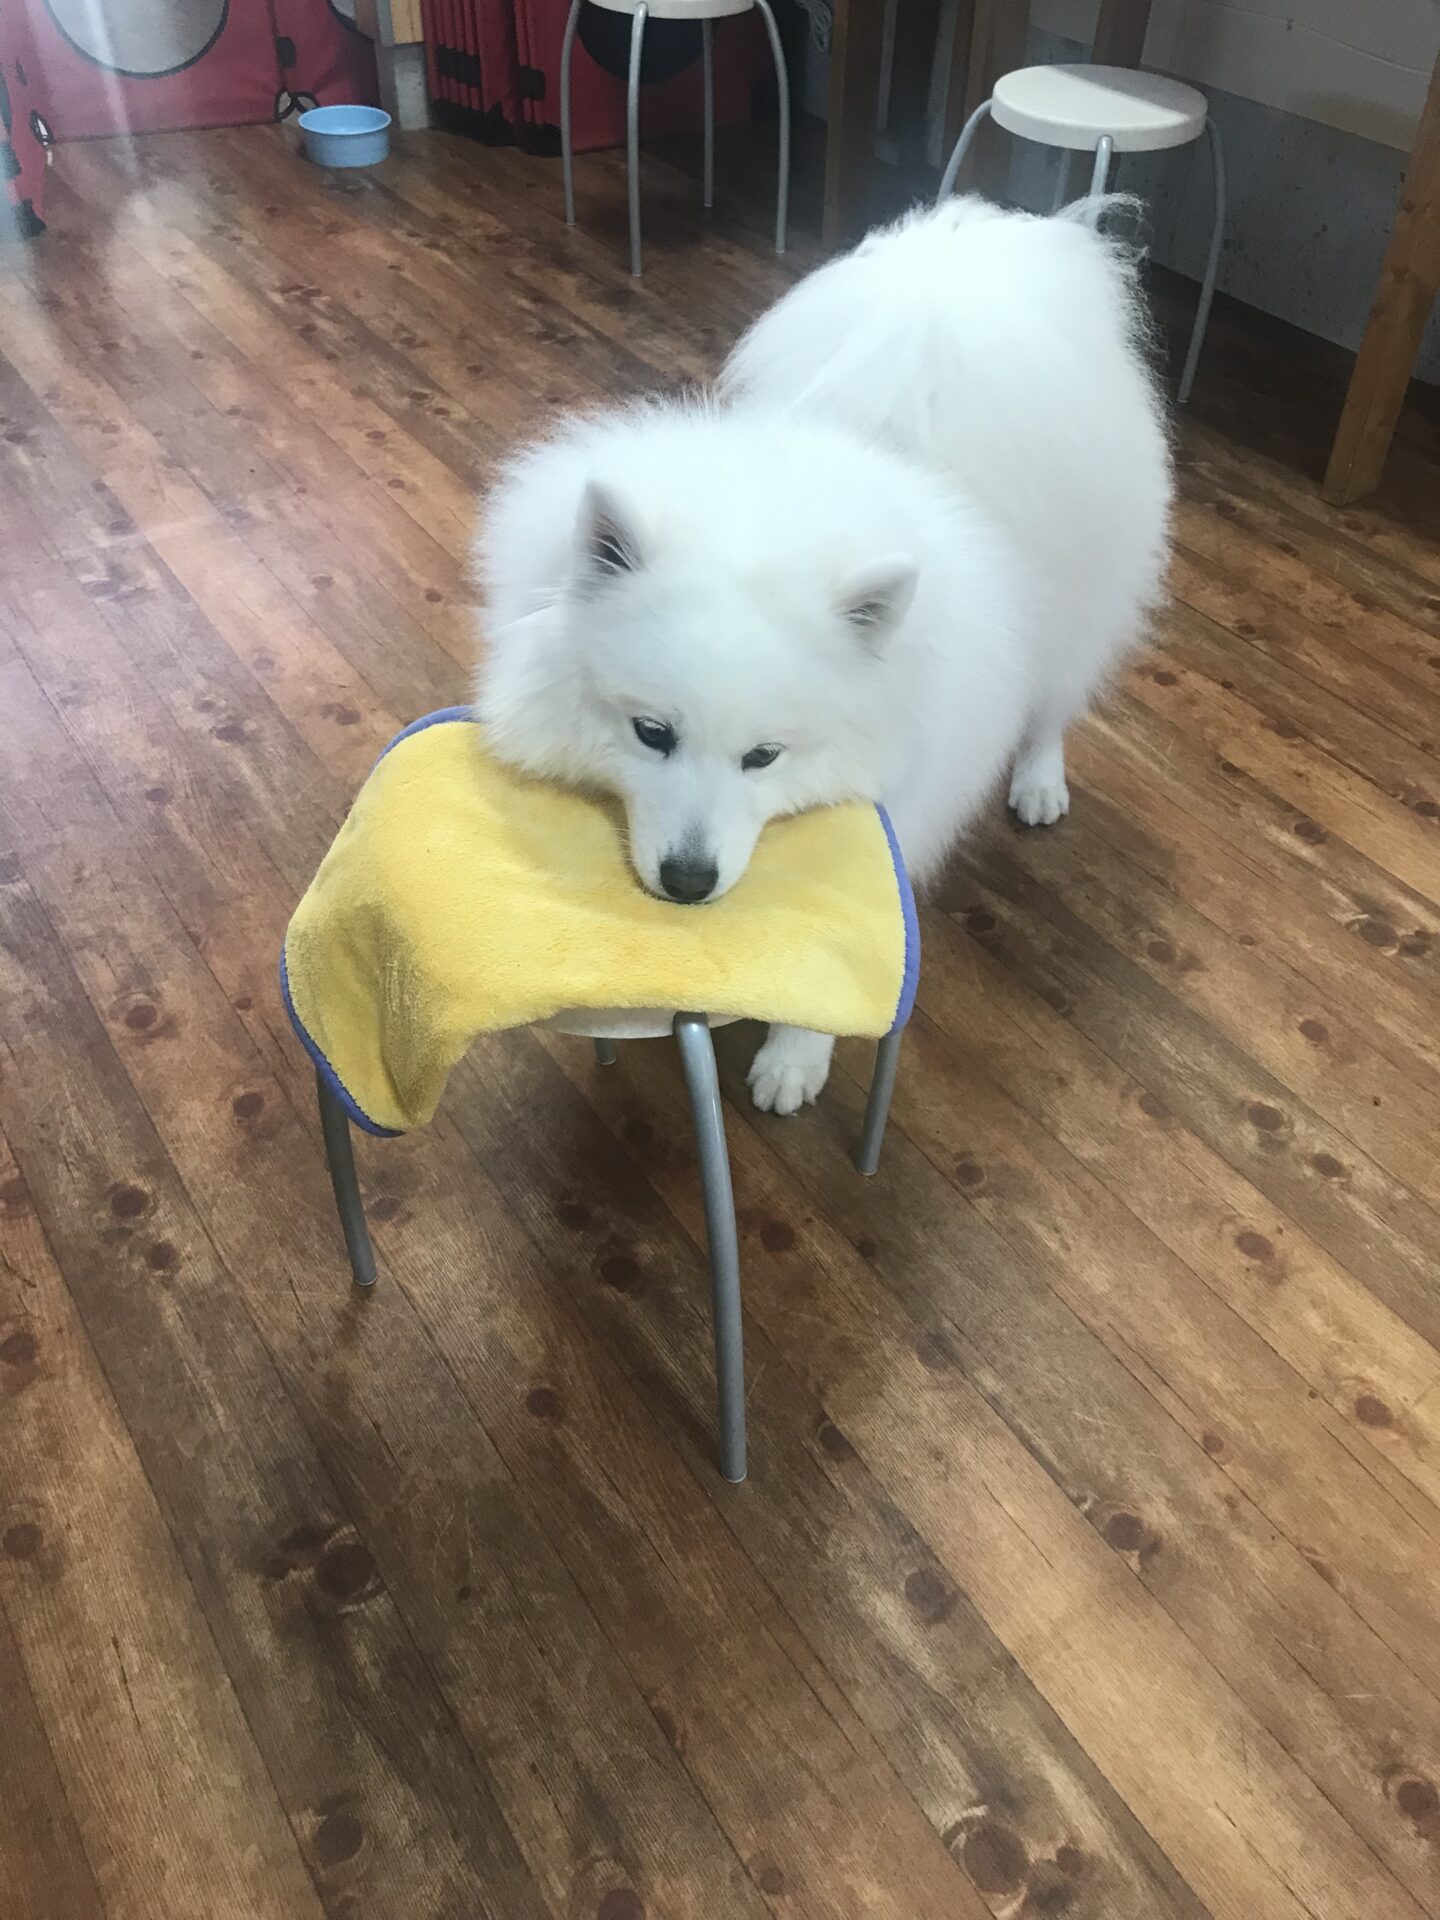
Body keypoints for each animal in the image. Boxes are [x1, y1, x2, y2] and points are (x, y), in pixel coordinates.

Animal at [473, 195, 1171, 1114]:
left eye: (764, 757)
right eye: (652, 734)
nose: (689, 881)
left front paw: (794, 1059)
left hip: (1081, 604)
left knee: (1055, 701)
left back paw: (1039, 782)